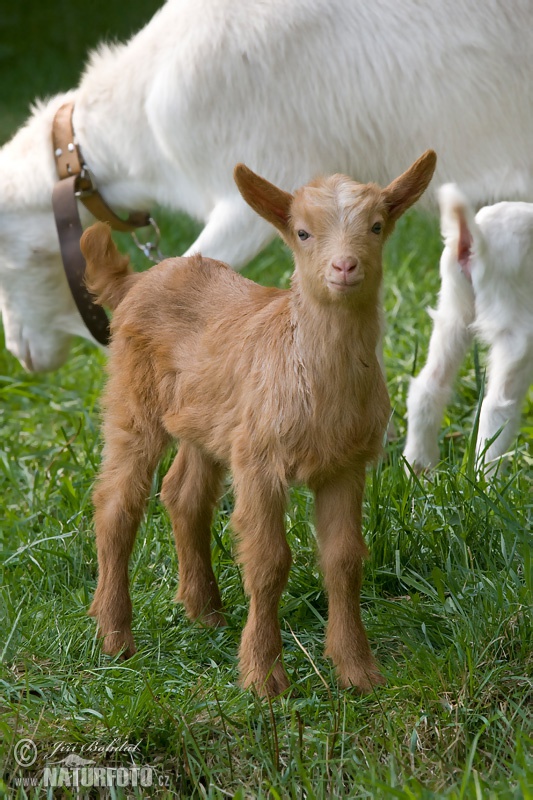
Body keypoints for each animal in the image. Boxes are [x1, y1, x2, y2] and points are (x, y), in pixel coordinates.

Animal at [404, 186, 532, 476]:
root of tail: (474, 236)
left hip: (454, 312)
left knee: (427, 388)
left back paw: (419, 468)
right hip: (517, 332)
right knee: (496, 408)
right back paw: (488, 479)